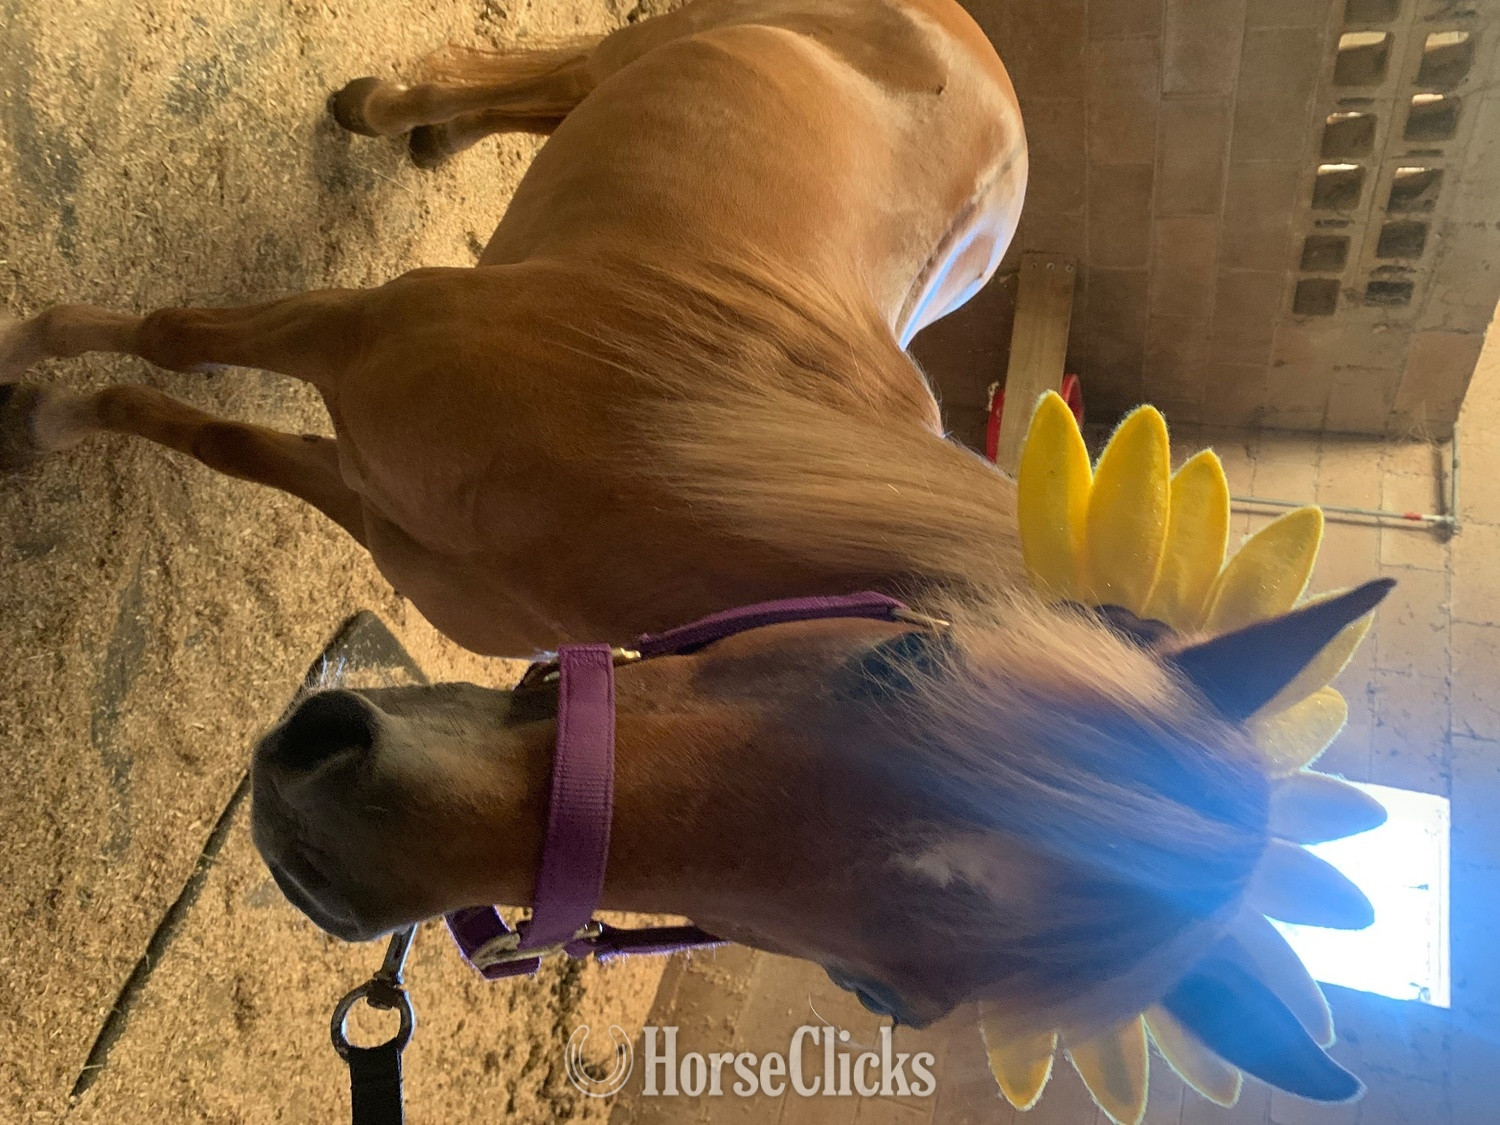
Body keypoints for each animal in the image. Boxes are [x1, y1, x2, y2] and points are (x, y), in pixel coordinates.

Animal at [0, 0, 1374, 1098]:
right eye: (899, 664)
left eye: (876, 992)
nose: (320, 856)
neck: (655, 457)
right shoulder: (362, 334)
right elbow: (173, 341)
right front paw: (33, 372)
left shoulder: (381, 506)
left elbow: (212, 433)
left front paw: (58, 411)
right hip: (659, 41)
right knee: (549, 66)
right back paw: (393, 109)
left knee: (545, 98)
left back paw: (424, 137)